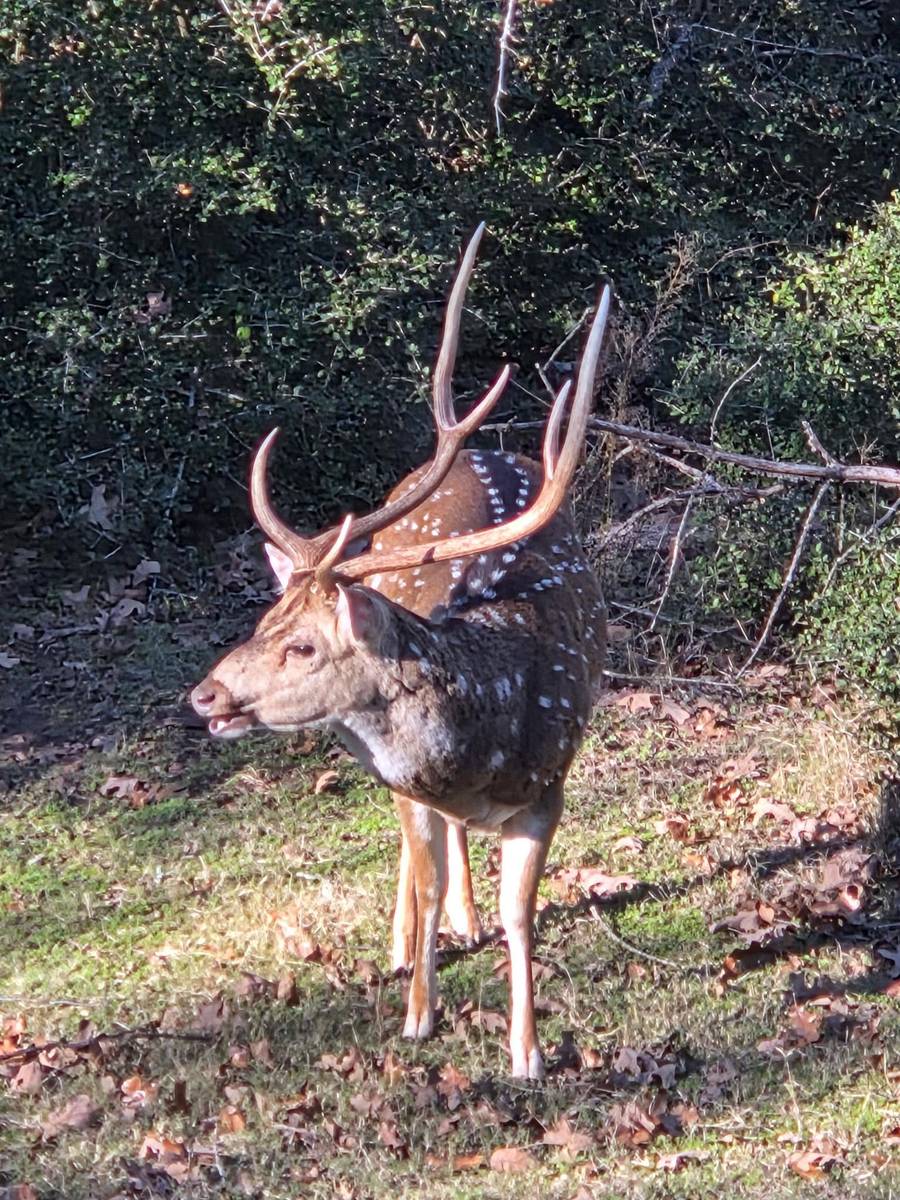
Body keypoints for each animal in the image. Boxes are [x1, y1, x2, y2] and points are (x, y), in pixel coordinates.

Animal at [191, 224, 610, 1079]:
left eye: (304, 647)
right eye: (265, 615)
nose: (204, 695)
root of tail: (480, 451)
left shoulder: (549, 784)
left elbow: (522, 914)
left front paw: (528, 1052)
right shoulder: (407, 787)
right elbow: (423, 879)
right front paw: (420, 1013)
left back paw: (462, 921)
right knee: (421, 861)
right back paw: (412, 940)